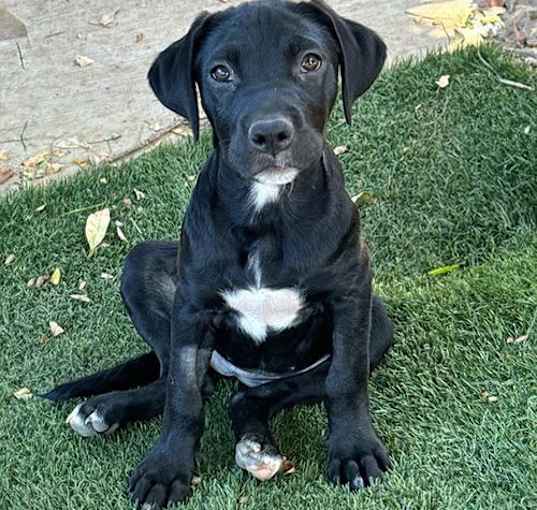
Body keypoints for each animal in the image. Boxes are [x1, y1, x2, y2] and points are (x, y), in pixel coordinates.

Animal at [44, 0, 392, 506]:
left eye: (311, 62)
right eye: (220, 72)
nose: (271, 134)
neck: (268, 215)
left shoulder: (352, 291)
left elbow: (345, 379)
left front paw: (354, 449)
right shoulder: (192, 307)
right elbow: (183, 396)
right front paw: (167, 467)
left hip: (376, 323)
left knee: (253, 396)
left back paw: (257, 445)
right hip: (141, 268)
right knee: (191, 379)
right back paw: (105, 410)